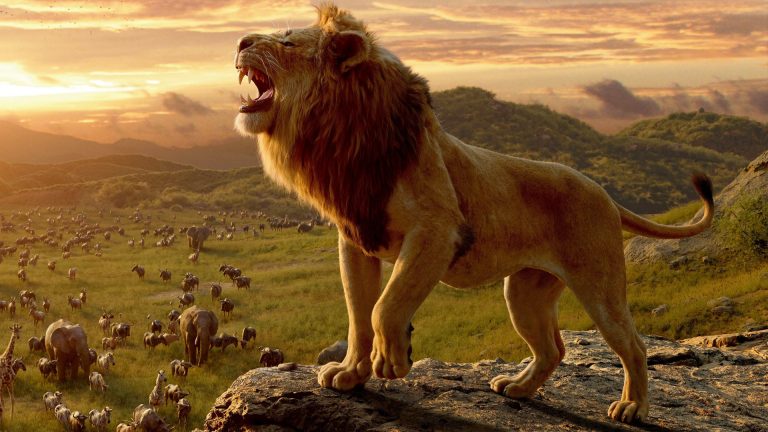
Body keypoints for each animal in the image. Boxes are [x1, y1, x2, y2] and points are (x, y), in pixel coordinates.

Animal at [233, 3, 713, 424]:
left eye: (287, 41)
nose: (239, 41)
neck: (340, 137)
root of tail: (606, 194)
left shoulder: (438, 230)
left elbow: (384, 307)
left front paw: (393, 361)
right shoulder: (356, 238)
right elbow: (357, 315)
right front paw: (350, 374)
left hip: (599, 285)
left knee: (632, 344)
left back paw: (632, 407)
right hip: (524, 293)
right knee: (553, 349)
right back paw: (517, 388)